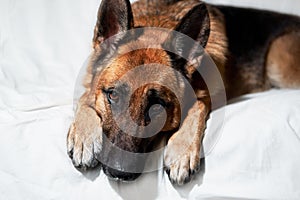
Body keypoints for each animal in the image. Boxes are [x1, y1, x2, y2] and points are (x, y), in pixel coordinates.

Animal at [67, 0, 300, 185]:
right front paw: (84, 137)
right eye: (113, 95)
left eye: (157, 106)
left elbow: (198, 105)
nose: (119, 172)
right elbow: (84, 98)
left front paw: (181, 151)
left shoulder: (208, 97)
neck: (159, 21)